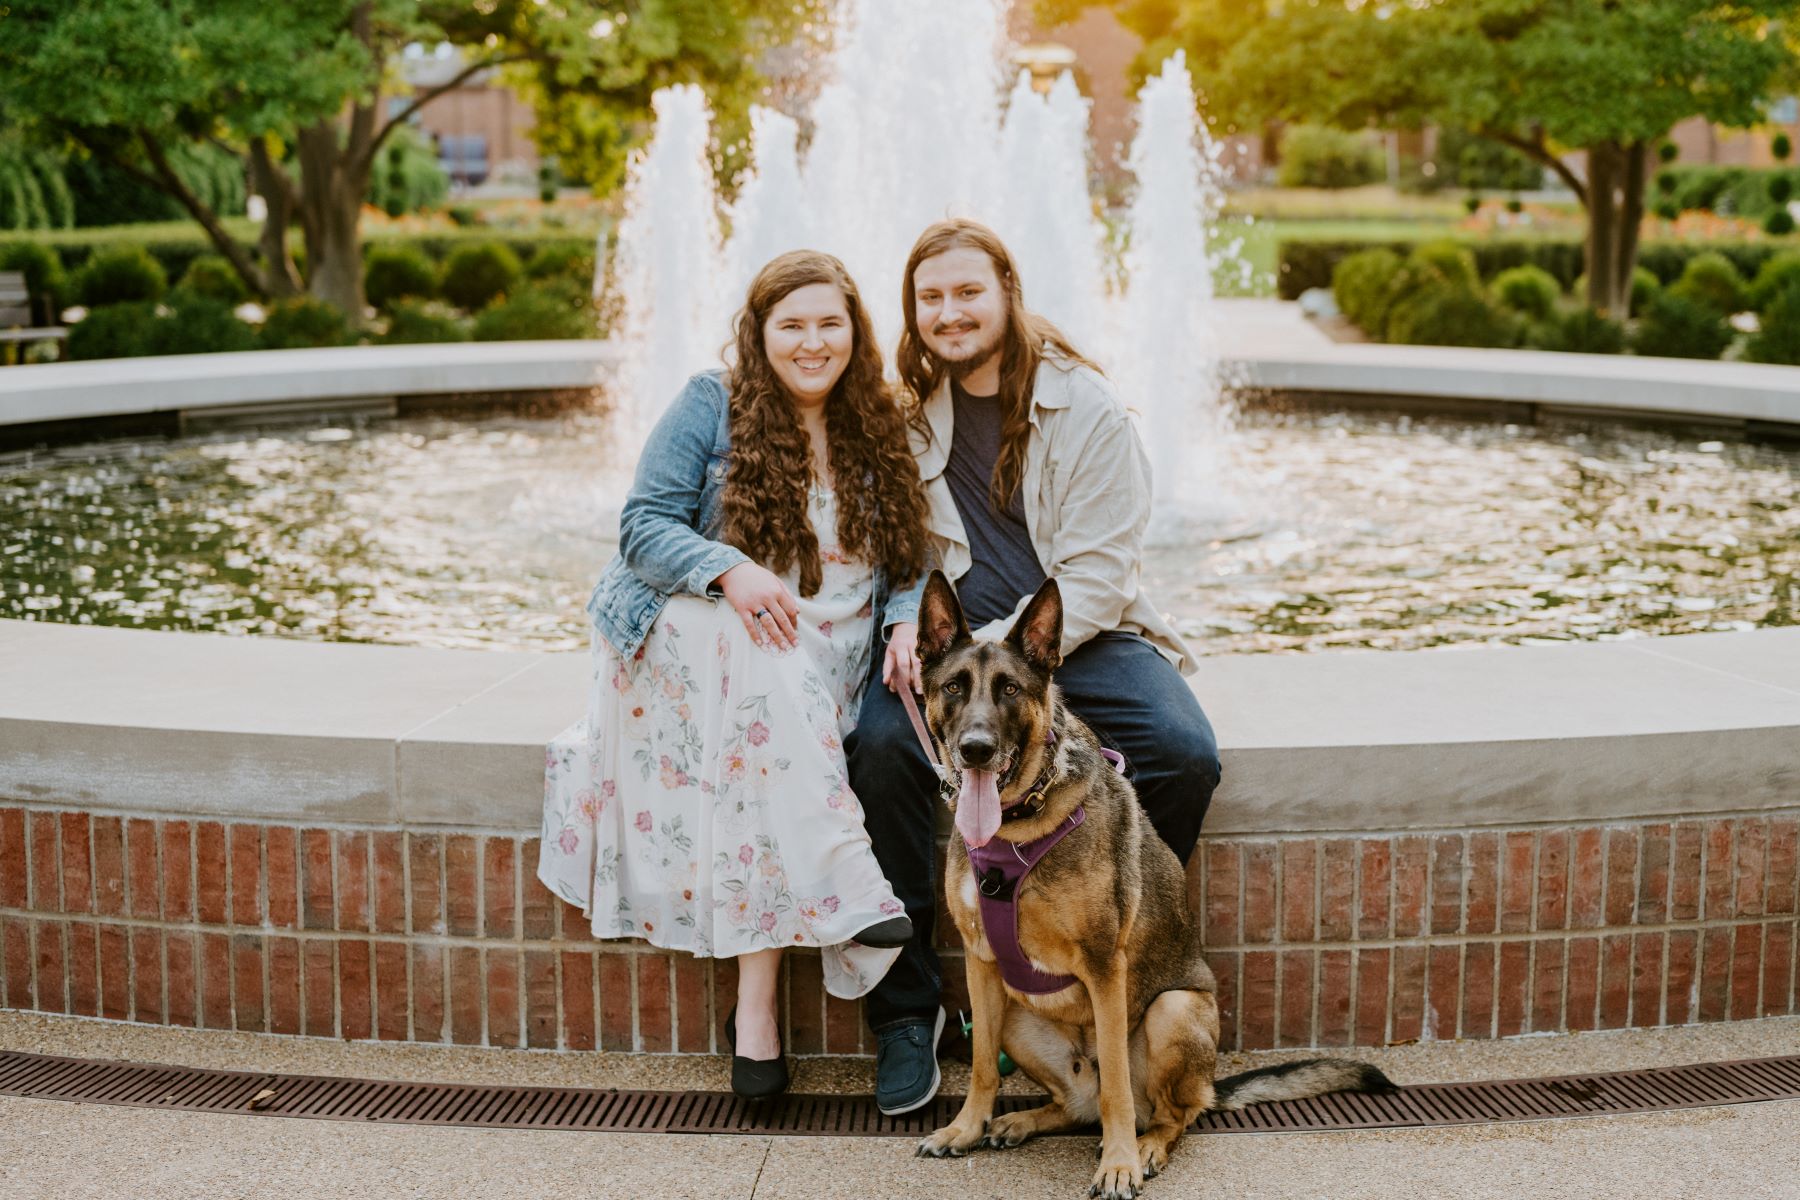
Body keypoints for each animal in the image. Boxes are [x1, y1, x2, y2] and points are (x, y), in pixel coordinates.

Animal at [914, 575, 1389, 1194]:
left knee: (1169, 1112)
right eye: (953, 686)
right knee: (1076, 1105)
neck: (1017, 826)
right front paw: (966, 1128)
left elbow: (1116, 1085)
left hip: (1173, 1011)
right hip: (1018, 1013)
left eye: (1010, 689)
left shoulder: (1103, 968)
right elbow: (979, 1069)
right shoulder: (981, 963)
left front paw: (1118, 1164)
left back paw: (1146, 1147)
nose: (975, 749)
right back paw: (1024, 1119)